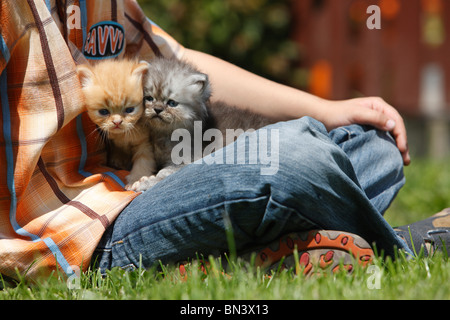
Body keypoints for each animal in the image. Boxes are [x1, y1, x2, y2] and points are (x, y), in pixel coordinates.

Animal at [76, 58, 156, 190]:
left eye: (129, 110)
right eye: (104, 112)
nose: (117, 122)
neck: (122, 136)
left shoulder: (144, 143)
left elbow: (143, 161)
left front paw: (136, 180)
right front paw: (118, 161)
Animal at [134, 56, 272, 191]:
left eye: (172, 103)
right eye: (149, 98)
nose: (157, 109)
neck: (165, 134)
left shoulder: (186, 160)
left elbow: (163, 175)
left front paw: (145, 183)